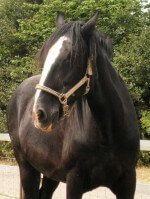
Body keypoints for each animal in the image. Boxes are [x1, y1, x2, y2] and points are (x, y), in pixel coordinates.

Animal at [6, 12, 139, 199]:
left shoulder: (128, 181)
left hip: (50, 173)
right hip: (27, 168)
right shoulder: (74, 180)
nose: (39, 113)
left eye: (70, 57)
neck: (109, 134)